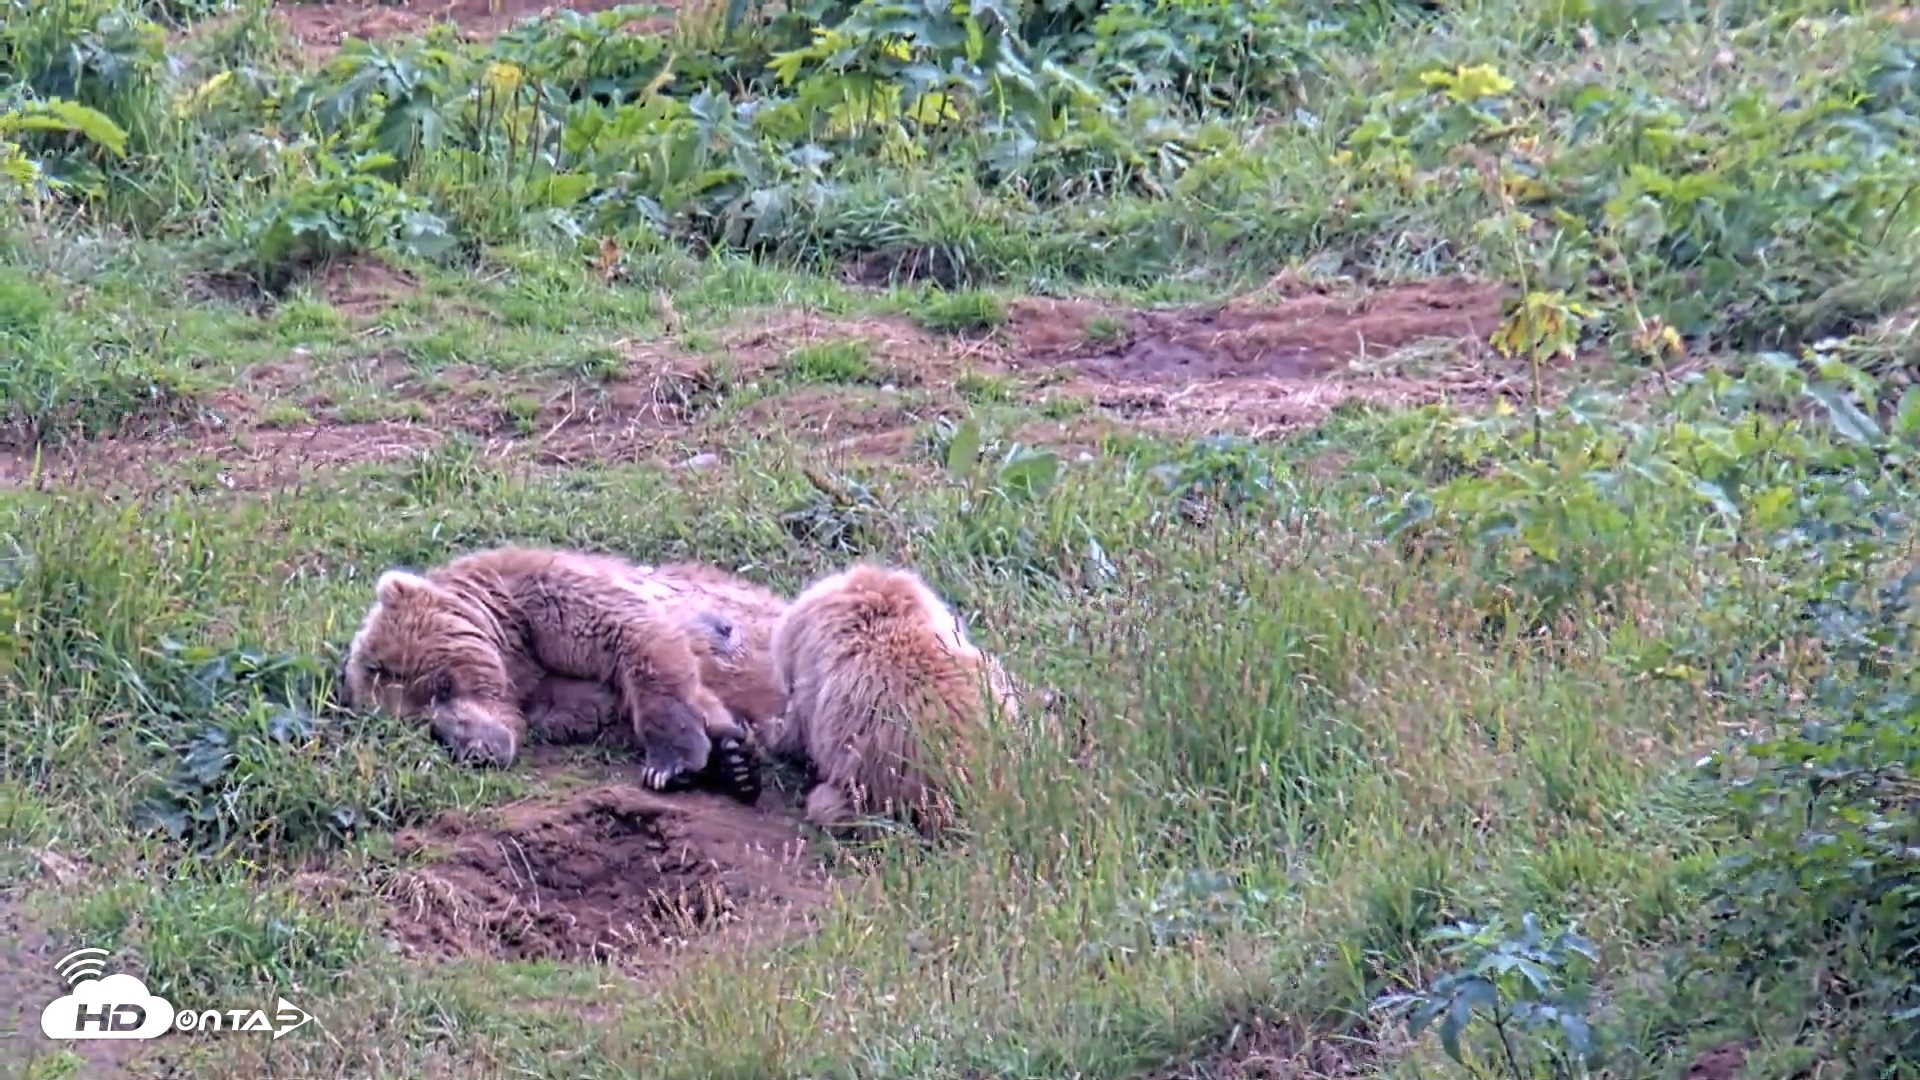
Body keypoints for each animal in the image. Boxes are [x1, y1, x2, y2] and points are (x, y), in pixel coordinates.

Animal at [340, 546, 762, 795]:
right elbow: (604, 707)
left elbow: (637, 639)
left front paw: (670, 764)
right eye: (428, 728)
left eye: (443, 686)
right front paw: (731, 759)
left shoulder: (544, 594)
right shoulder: (549, 695)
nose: (480, 752)